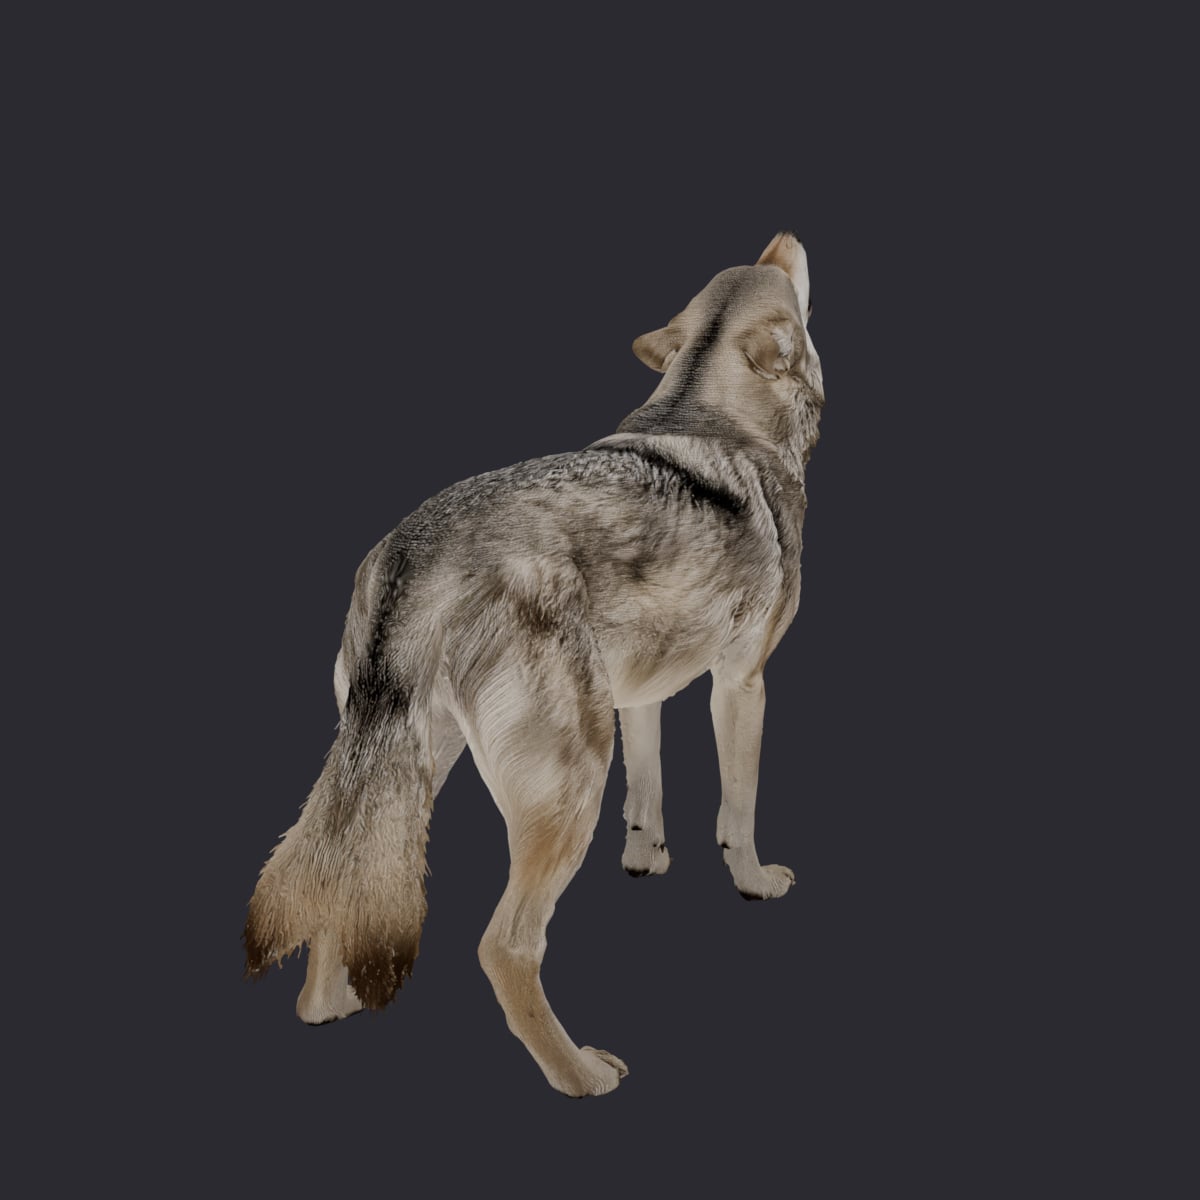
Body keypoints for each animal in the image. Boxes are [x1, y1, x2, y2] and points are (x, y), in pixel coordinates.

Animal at [244, 233, 826, 1096]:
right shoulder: (741, 685)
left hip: (413, 769)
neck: (709, 412)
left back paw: (328, 1006)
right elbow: (739, 808)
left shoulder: (638, 696)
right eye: (784, 281)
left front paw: (646, 859)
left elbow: (649, 793)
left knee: (342, 883)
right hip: (567, 786)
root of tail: (417, 554)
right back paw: (581, 1073)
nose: (785, 236)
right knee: (507, 946)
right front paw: (753, 883)